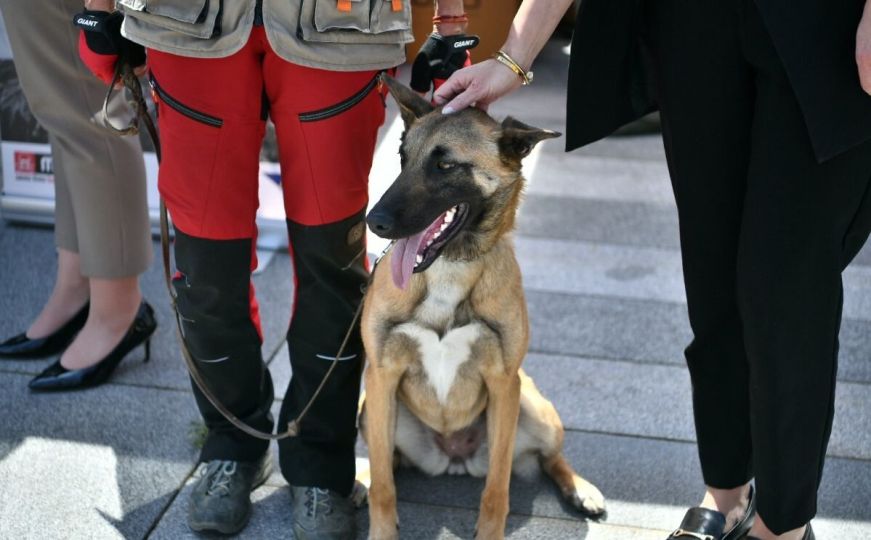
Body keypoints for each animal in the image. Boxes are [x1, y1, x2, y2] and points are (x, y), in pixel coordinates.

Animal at [360, 77, 608, 540]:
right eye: (402, 158)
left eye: (444, 165)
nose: (374, 221)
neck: (449, 268)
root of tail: (454, 457)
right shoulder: (382, 375)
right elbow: (384, 486)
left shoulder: (502, 381)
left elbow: (497, 487)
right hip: (372, 410)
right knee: (387, 462)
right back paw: (361, 478)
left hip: (531, 406)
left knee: (550, 457)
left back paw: (580, 489)